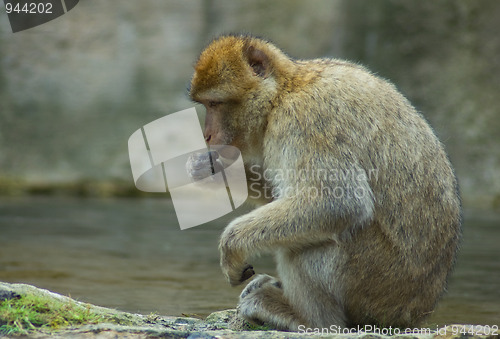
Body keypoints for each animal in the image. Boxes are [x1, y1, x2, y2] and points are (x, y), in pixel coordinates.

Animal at [187, 33, 460, 332]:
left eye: (215, 104)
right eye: (205, 105)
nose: (208, 135)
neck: (283, 92)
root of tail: (414, 314)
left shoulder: (304, 119)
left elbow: (337, 202)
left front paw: (231, 244)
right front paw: (214, 169)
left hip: (372, 281)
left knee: (308, 241)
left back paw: (305, 318)